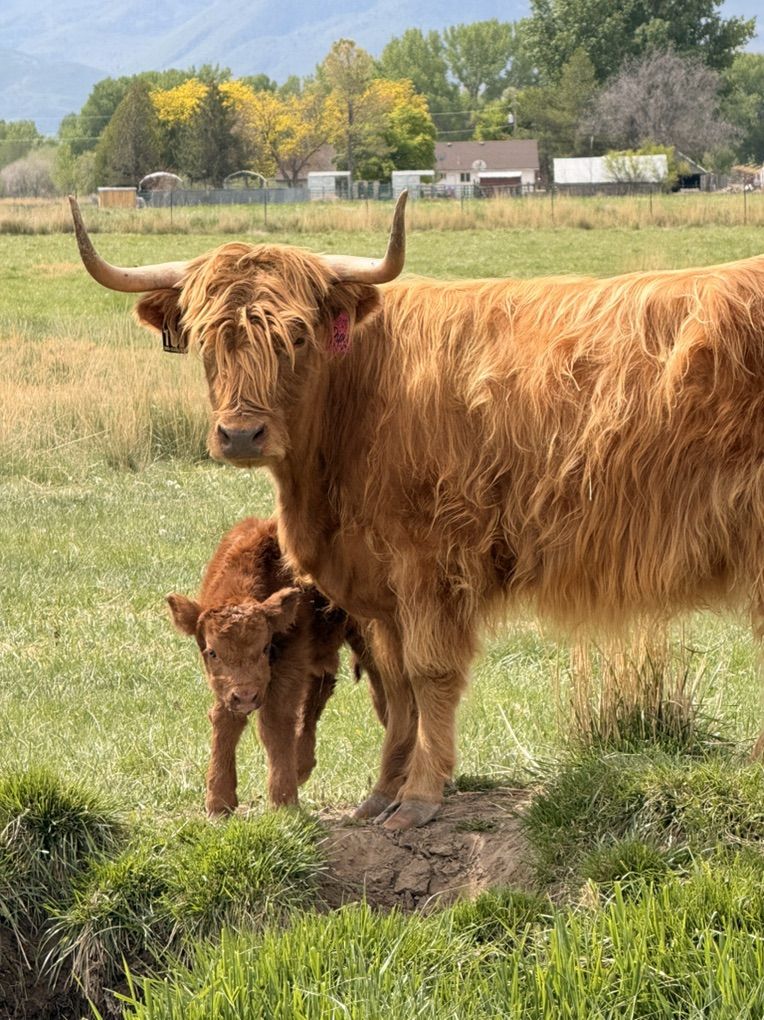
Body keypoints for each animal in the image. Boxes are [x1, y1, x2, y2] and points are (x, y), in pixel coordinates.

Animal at [69, 193, 764, 830]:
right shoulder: (379, 589)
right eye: (207, 339)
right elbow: (396, 688)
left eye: (296, 335)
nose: (240, 435)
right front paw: (382, 794)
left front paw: (423, 797)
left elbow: (429, 677)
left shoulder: (430, 563)